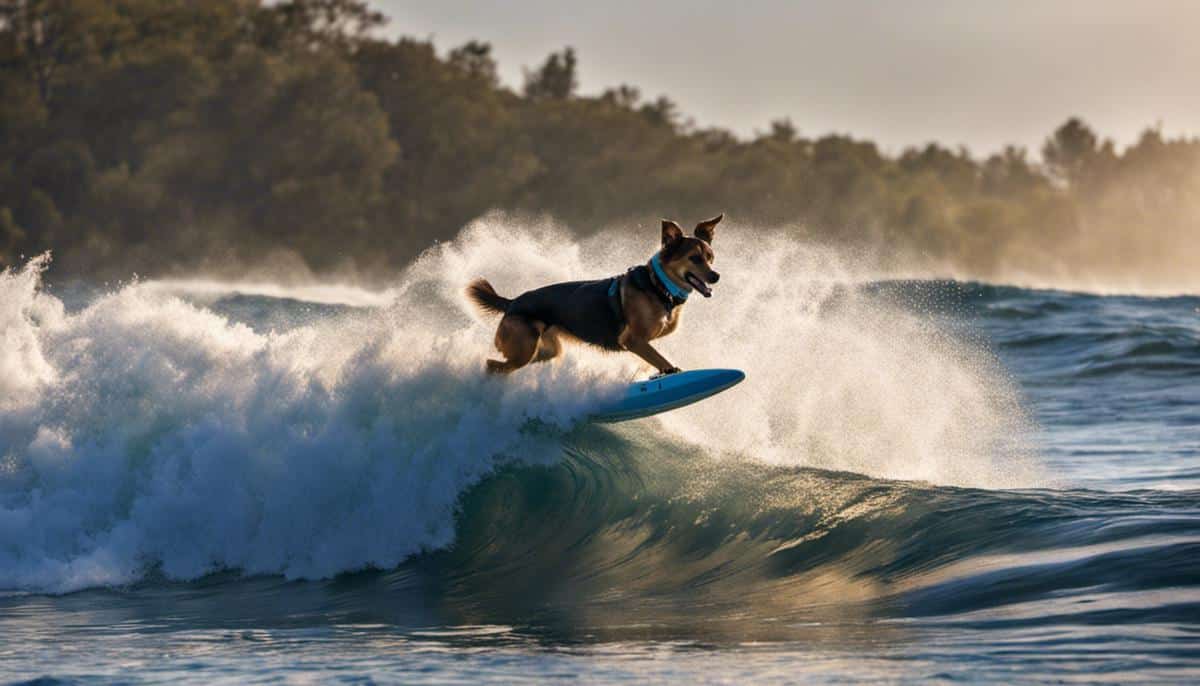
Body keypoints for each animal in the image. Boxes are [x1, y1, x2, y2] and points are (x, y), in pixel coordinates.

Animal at [468, 214, 720, 374]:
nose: (716, 276)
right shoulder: (633, 340)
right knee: (493, 366)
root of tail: (512, 302)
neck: (658, 286)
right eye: (694, 258)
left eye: (710, 257)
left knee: (503, 364)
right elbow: (661, 359)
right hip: (525, 347)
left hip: (542, 351)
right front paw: (671, 370)